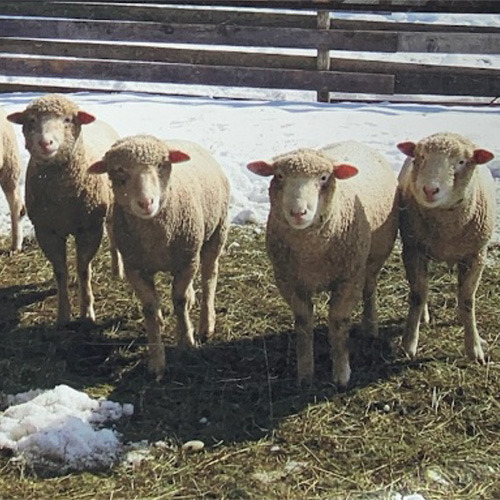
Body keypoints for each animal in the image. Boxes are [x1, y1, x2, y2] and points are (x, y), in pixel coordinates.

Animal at [7, 94, 122, 324]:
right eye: (31, 120)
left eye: (68, 119)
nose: (45, 142)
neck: (62, 197)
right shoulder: (46, 231)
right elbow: (60, 271)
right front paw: (63, 314)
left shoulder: (89, 229)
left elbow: (83, 269)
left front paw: (87, 312)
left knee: (113, 236)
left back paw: (117, 270)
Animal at [88, 133, 230, 378]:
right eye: (119, 170)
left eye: (161, 165)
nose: (146, 203)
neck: (155, 236)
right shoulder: (136, 267)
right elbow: (150, 309)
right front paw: (156, 360)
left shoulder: (187, 259)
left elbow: (179, 301)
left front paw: (187, 341)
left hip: (216, 233)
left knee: (209, 278)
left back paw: (206, 323)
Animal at [246, 141, 398, 386]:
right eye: (279, 175)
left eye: (324, 177)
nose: (298, 212)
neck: (310, 254)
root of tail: (354, 142)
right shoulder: (289, 281)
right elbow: (303, 322)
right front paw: (306, 373)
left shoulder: (348, 279)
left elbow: (338, 321)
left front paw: (342, 373)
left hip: (373, 259)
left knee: (369, 290)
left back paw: (370, 327)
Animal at [394, 131, 496, 362]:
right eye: (421, 157)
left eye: (461, 162)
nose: (430, 190)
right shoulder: (413, 250)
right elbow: (417, 295)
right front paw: (408, 344)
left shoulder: (476, 255)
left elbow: (467, 300)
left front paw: (474, 348)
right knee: (422, 290)